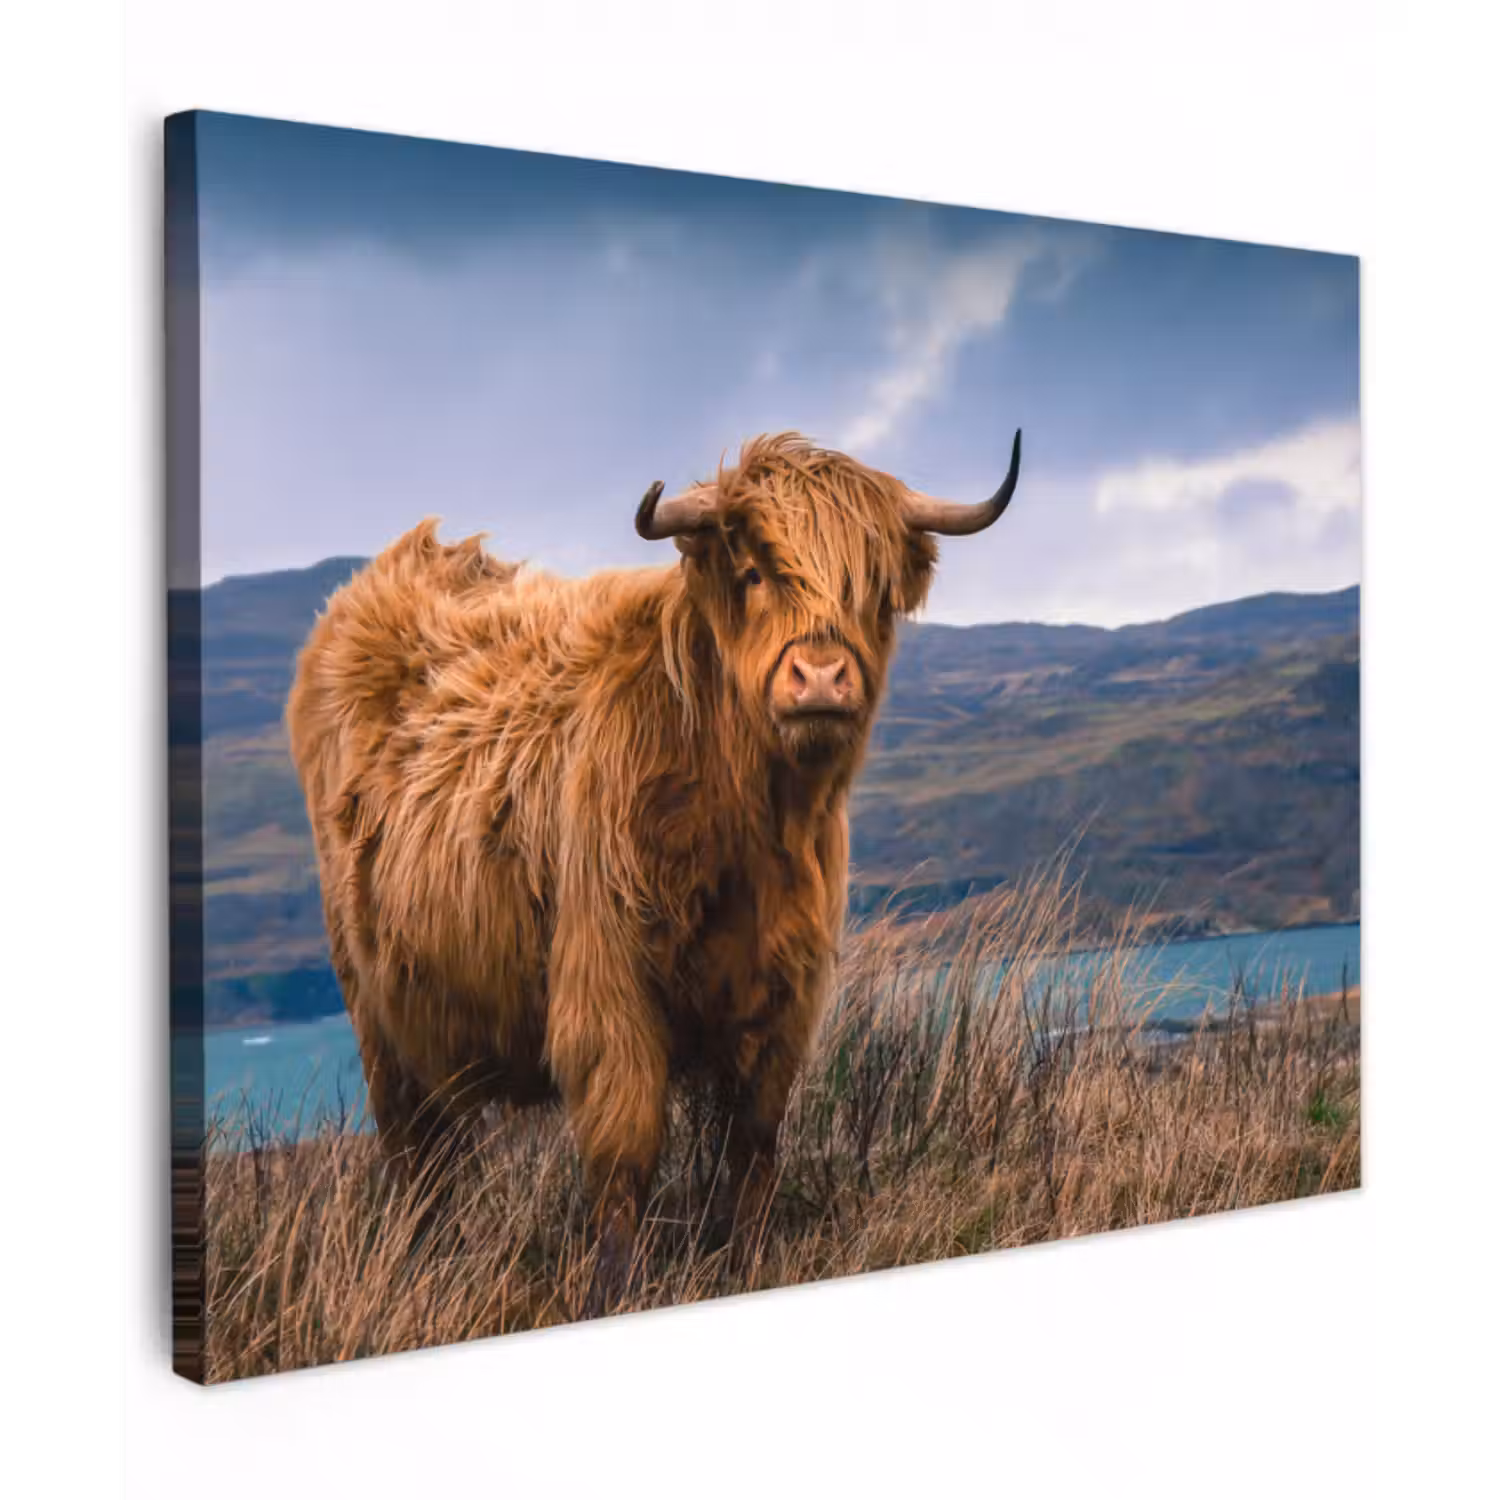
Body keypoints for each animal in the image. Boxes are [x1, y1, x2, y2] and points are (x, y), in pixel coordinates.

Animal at [286, 427, 1022, 1298]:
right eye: (754, 572)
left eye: (871, 590)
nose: (820, 678)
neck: (748, 824)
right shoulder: (609, 987)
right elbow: (625, 1149)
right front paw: (614, 1284)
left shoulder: (786, 997)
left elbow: (754, 1144)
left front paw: (746, 1259)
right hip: (376, 1013)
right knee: (416, 1156)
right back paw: (422, 1263)